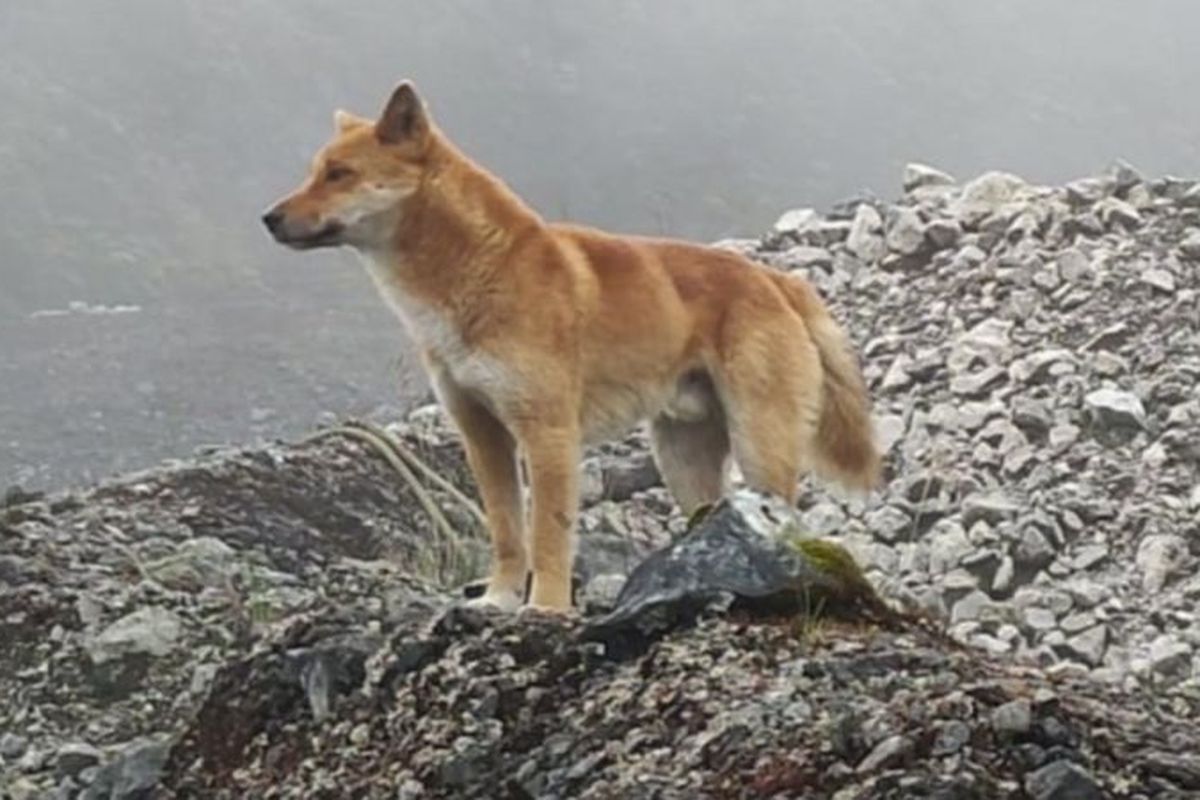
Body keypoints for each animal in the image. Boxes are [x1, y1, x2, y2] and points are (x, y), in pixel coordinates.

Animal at [265, 81, 883, 609]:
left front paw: (544, 609)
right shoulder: (483, 434)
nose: (269, 218)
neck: (479, 272)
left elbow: (547, 538)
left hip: (759, 445)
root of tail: (775, 280)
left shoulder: (548, 434)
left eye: (340, 174)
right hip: (682, 460)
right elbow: (508, 533)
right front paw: (498, 600)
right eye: (315, 171)